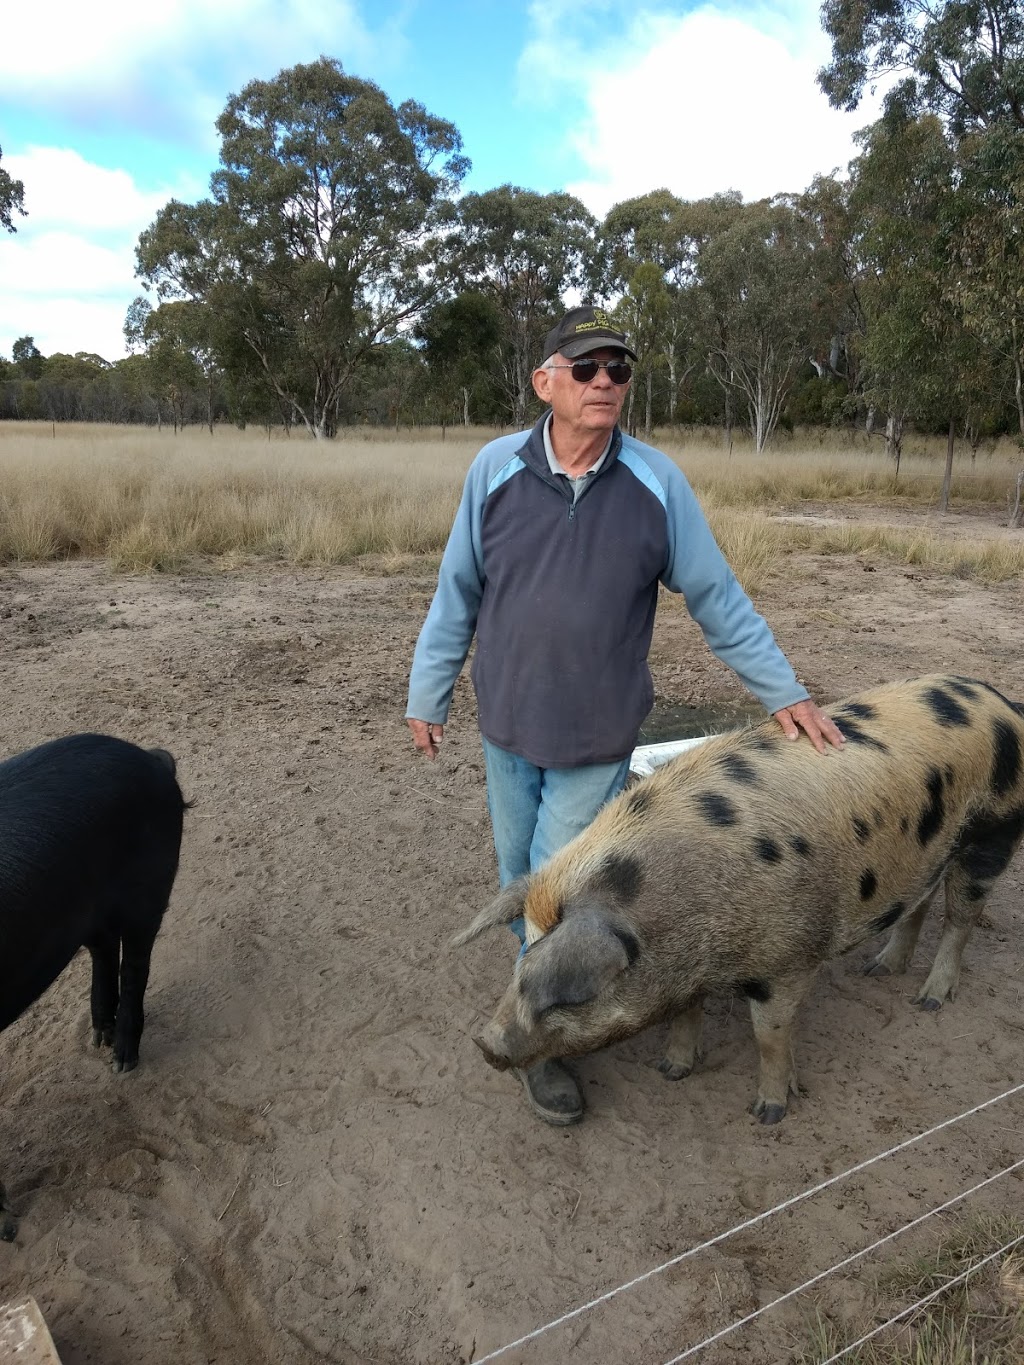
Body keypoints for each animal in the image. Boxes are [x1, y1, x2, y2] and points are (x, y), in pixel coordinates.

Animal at [456, 677, 1024, 1124]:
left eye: (569, 996)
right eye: (523, 961)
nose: (484, 1043)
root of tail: (1001, 701)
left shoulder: (789, 959)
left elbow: (769, 1035)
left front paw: (769, 1113)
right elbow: (687, 1014)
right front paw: (673, 1071)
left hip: (994, 832)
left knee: (961, 917)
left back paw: (930, 999)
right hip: (929, 854)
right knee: (920, 904)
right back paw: (881, 970)